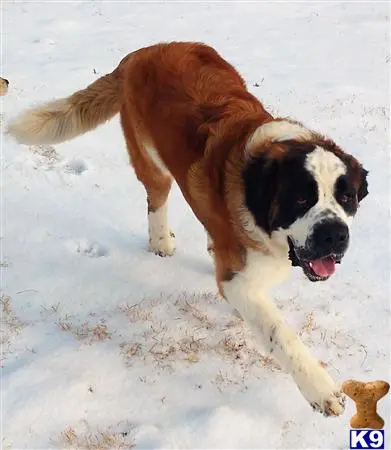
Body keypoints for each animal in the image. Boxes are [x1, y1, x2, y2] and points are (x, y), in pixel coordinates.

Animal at [9, 43, 370, 418]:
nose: (334, 234)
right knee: (156, 198)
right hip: (151, 163)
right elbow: (281, 336)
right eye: (300, 199)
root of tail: (141, 53)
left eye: (347, 198)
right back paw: (160, 241)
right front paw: (322, 390)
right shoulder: (238, 280)